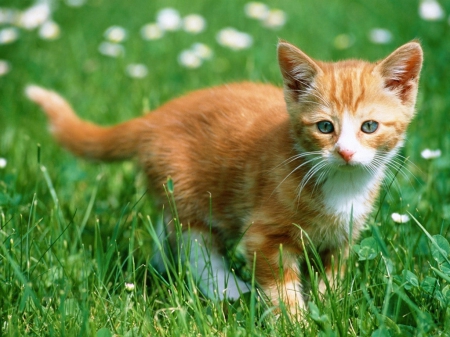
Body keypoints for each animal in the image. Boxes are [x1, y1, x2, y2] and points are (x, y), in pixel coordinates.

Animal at [27, 40, 422, 316]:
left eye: (369, 127)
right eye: (325, 127)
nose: (345, 153)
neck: (342, 185)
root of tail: (155, 117)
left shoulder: (343, 236)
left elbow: (332, 279)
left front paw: (332, 308)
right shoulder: (264, 236)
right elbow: (280, 288)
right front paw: (296, 321)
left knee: (167, 236)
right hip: (188, 190)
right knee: (194, 245)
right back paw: (228, 289)